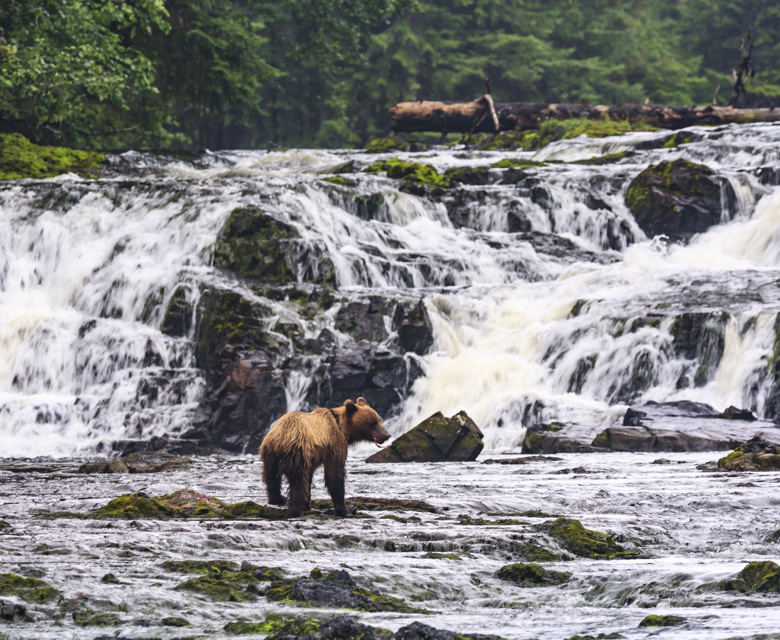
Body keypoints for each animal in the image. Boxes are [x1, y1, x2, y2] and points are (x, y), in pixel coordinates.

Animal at [258, 398, 390, 516]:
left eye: (379, 419)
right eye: (373, 422)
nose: (387, 435)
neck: (342, 427)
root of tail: (281, 437)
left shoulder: (312, 456)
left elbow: (310, 477)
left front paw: (307, 504)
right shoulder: (334, 445)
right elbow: (335, 475)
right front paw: (347, 508)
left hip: (271, 454)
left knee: (271, 477)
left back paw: (278, 499)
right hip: (298, 450)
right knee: (297, 481)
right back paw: (294, 510)